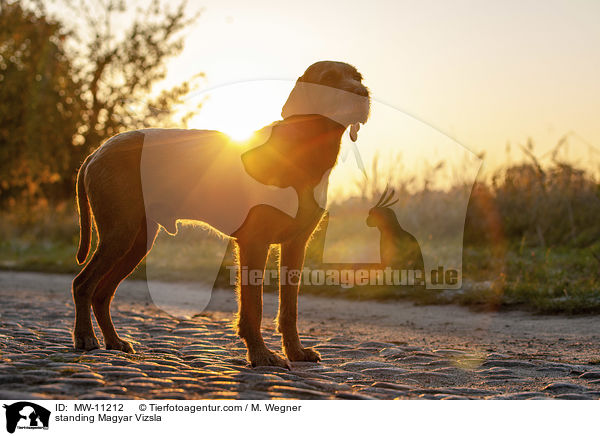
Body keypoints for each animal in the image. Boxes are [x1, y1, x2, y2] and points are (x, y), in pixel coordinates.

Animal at [72, 60, 368, 368]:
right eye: (329, 79)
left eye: (358, 78)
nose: (363, 94)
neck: (305, 150)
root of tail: (95, 153)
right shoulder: (254, 243)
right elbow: (253, 307)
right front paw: (260, 354)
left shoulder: (295, 246)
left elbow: (289, 309)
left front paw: (296, 352)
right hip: (120, 234)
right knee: (82, 284)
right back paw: (85, 338)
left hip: (136, 243)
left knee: (101, 293)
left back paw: (114, 341)